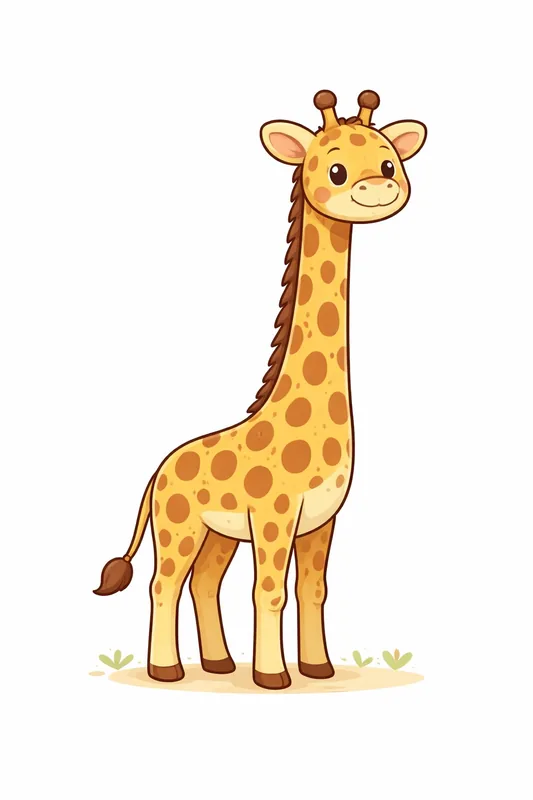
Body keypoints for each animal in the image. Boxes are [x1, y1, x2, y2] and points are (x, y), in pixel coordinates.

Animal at [94, 89, 426, 690]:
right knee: (163, 583)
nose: (378, 189)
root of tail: (157, 473)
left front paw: (317, 667)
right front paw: (274, 676)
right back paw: (166, 669)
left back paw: (220, 663)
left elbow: (313, 589)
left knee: (203, 581)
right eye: (336, 169)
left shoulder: (321, 520)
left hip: (219, 534)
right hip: (177, 526)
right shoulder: (275, 516)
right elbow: (268, 591)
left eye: (390, 163)